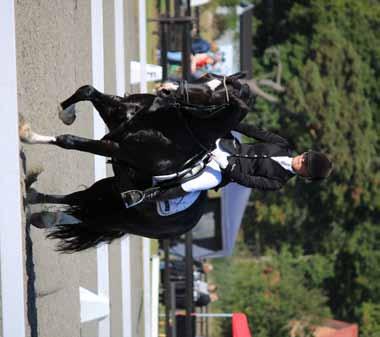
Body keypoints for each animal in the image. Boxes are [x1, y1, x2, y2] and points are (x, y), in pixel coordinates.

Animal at [21, 73, 252, 252]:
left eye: (213, 97)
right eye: (206, 76)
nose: (166, 90)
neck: (170, 123)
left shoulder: (117, 148)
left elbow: (68, 140)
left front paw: (27, 135)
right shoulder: (116, 113)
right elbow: (87, 90)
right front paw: (65, 114)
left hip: (120, 217)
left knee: (84, 212)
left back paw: (41, 214)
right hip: (109, 191)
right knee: (76, 200)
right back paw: (35, 203)